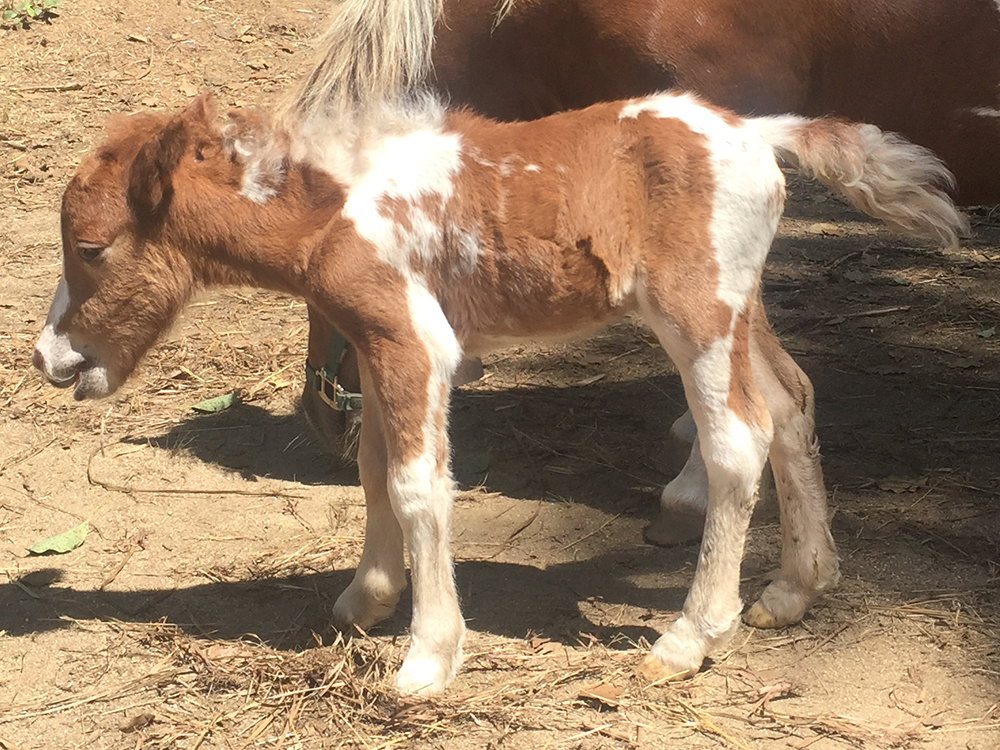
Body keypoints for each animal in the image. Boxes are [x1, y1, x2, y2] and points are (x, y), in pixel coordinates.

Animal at [33, 91, 968, 696]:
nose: (49, 358)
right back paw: (796, 588)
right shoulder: (374, 343)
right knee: (790, 403)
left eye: (92, 246)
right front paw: (366, 600)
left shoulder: (414, 342)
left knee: (738, 440)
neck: (334, 209)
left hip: (695, 311)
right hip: (743, 306)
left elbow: (416, 485)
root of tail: (756, 133)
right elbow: (373, 471)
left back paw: (688, 638)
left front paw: (426, 658)